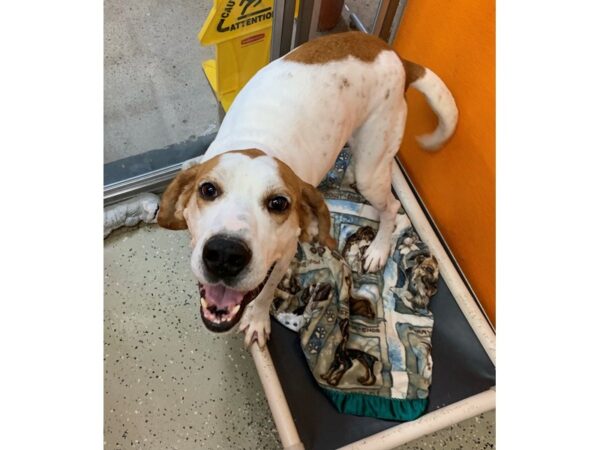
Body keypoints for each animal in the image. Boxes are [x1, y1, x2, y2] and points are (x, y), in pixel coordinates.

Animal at [157, 32, 458, 348]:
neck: (255, 143)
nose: (225, 254)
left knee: (392, 208)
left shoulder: (284, 255)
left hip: (373, 169)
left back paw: (378, 249)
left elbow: (265, 293)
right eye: (208, 189)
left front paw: (257, 320)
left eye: (279, 203)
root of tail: (396, 57)